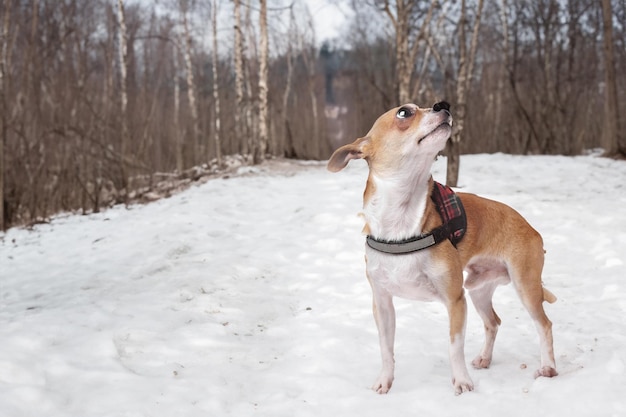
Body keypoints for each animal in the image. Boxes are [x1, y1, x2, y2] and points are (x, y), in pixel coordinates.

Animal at [326, 101, 556, 394]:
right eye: (404, 112)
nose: (443, 105)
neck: (401, 224)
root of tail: (531, 228)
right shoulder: (383, 304)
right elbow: (386, 349)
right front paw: (384, 381)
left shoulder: (455, 300)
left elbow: (454, 348)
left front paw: (462, 382)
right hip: (479, 291)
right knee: (493, 323)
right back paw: (485, 358)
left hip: (525, 287)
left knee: (544, 325)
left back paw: (548, 368)